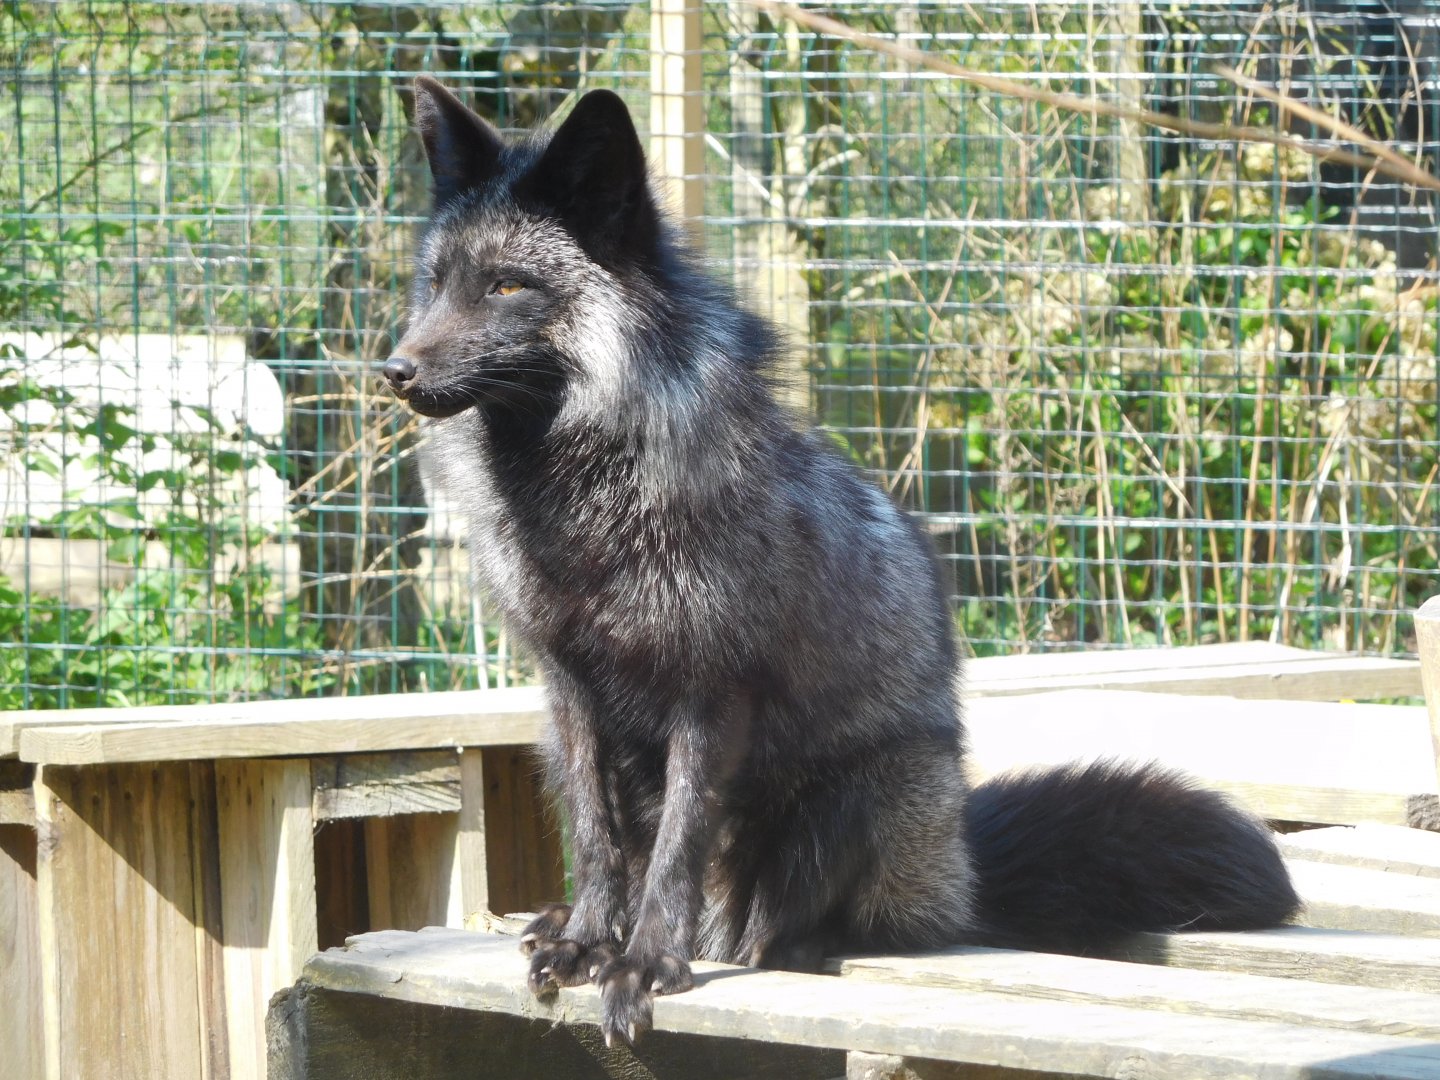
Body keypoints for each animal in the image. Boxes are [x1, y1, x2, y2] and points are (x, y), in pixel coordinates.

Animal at [382, 77, 1300, 1048]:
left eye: (507, 286)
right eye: (436, 285)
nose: (393, 370)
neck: (579, 497)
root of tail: (963, 876)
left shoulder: (711, 689)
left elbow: (676, 845)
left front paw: (643, 964)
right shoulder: (569, 688)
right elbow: (601, 841)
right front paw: (590, 942)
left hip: (866, 789)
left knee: (823, 925)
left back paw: (781, 944)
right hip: (556, 752)